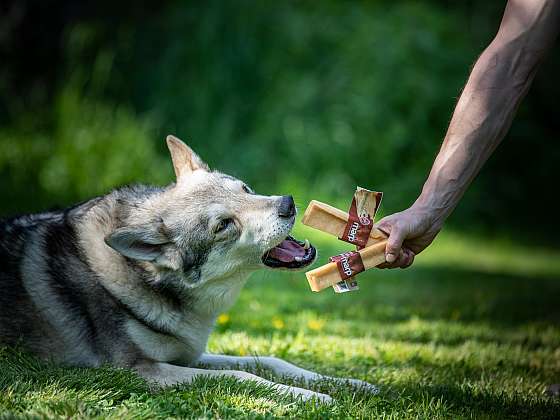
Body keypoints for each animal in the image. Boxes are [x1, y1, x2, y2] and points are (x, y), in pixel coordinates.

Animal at [1, 136, 376, 402]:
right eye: (224, 225)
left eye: (245, 189)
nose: (288, 203)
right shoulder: (137, 370)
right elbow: (245, 376)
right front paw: (312, 397)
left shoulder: (191, 354)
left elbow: (272, 361)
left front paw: (349, 383)